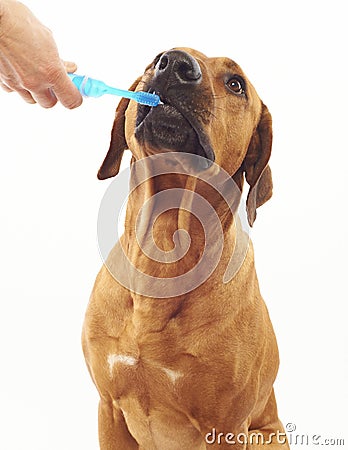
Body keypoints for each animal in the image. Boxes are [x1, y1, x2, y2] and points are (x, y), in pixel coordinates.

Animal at [83, 47, 290, 448]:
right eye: (155, 60)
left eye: (236, 84)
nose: (175, 64)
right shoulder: (108, 409)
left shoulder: (227, 428)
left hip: (267, 436)